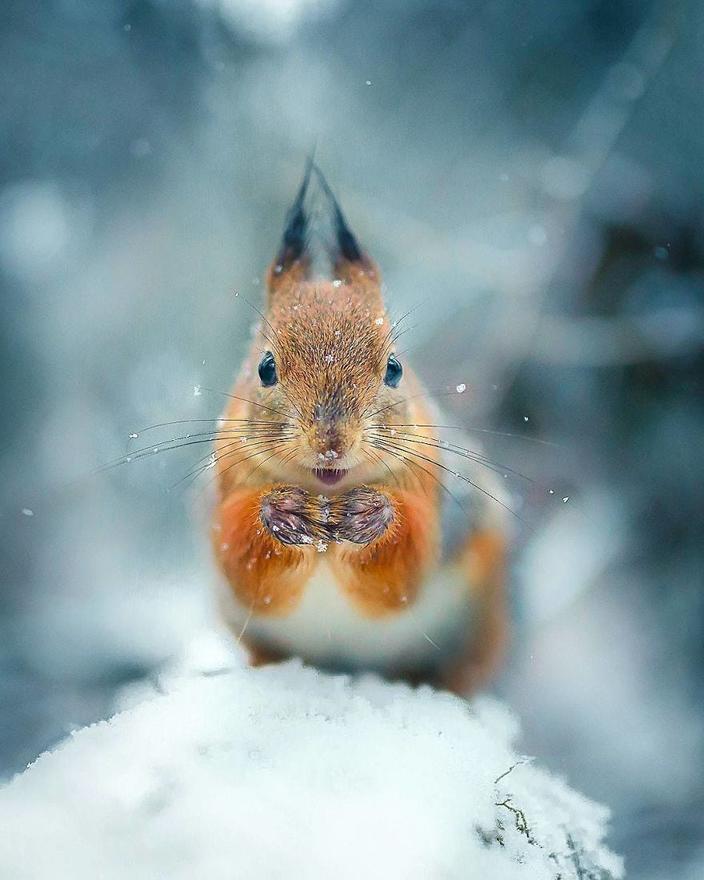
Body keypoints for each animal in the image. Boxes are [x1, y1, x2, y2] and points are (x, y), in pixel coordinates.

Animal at [212, 162, 508, 692]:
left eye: (394, 368)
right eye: (265, 367)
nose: (331, 442)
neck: (328, 493)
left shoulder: (431, 484)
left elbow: (406, 569)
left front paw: (373, 514)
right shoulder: (226, 484)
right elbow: (242, 563)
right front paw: (281, 511)